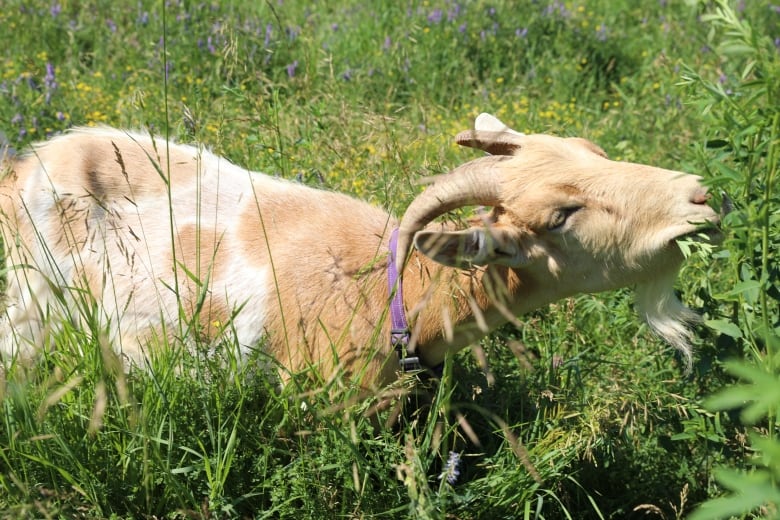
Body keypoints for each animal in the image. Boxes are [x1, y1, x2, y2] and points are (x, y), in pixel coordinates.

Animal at [0, 115, 720, 386]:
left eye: (593, 152)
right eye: (561, 215)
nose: (701, 198)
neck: (391, 291)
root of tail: (22, 169)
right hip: (29, 315)